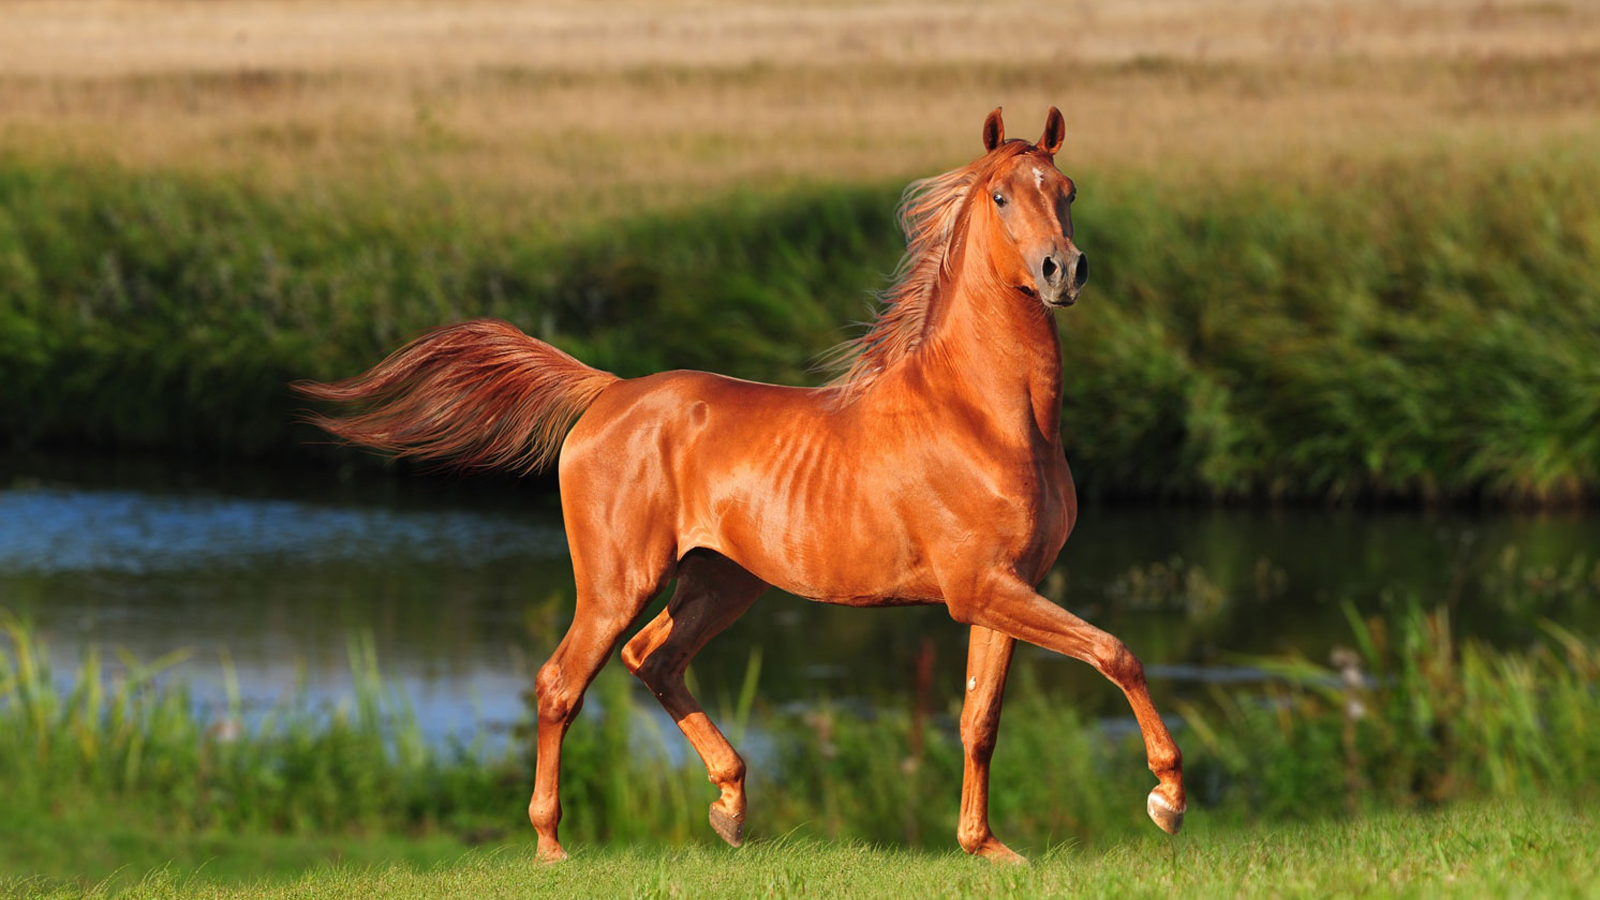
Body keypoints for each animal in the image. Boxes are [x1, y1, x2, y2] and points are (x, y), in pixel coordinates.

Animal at [294, 106, 1184, 864]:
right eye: (1001, 195)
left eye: (1067, 191)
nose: (1063, 270)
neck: (986, 415)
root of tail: (607, 393)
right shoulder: (981, 588)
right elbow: (1117, 651)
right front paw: (1166, 798)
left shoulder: (1004, 587)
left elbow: (980, 720)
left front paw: (986, 847)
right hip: (620, 580)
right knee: (561, 683)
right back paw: (552, 844)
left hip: (721, 581)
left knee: (652, 660)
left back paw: (729, 805)